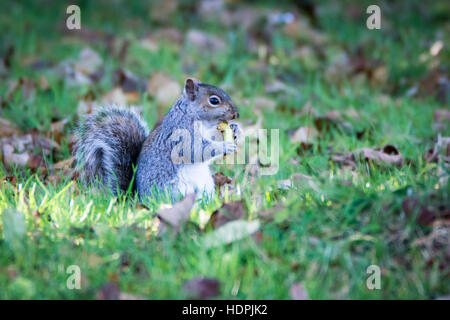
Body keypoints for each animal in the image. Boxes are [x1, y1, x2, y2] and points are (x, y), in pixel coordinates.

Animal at [74, 78, 239, 201]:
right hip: (175, 190)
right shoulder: (181, 134)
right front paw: (225, 146)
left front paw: (236, 130)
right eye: (214, 101)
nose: (236, 114)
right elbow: (195, 150)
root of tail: (138, 200)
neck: (194, 116)